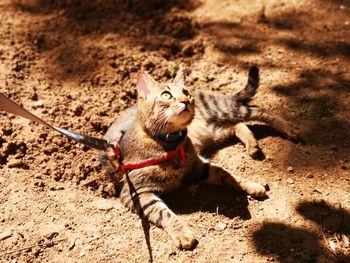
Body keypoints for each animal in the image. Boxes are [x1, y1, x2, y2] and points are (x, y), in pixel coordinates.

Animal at [100, 65, 300, 250]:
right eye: (166, 95)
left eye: (185, 93)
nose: (186, 100)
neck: (173, 144)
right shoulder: (136, 192)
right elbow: (165, 213)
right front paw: (182, 234)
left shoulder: (197, 166)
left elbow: (227, 174)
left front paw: (250, 185)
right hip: (215, 130)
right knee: (237, 124)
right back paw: (253, 144)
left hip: (223, 111)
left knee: (257, 110)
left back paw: (289, 129)